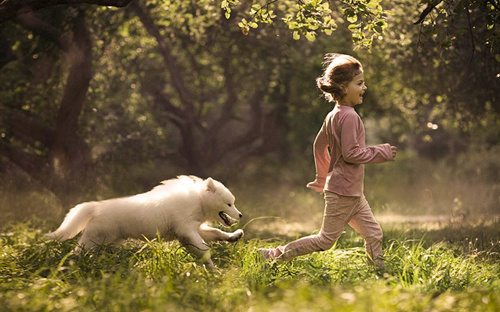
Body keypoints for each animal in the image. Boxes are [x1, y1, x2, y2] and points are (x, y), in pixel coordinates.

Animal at [46, 176, 245, 268]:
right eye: (229, 204)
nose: (241, 215)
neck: (198, 200)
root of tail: (96, 207)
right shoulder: (187, 230)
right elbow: (203, 249)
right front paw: (213, 268)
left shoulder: (192, 230)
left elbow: (217, 233)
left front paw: (234, 236)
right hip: (93, 240)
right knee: (76, 252)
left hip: (106, 242)